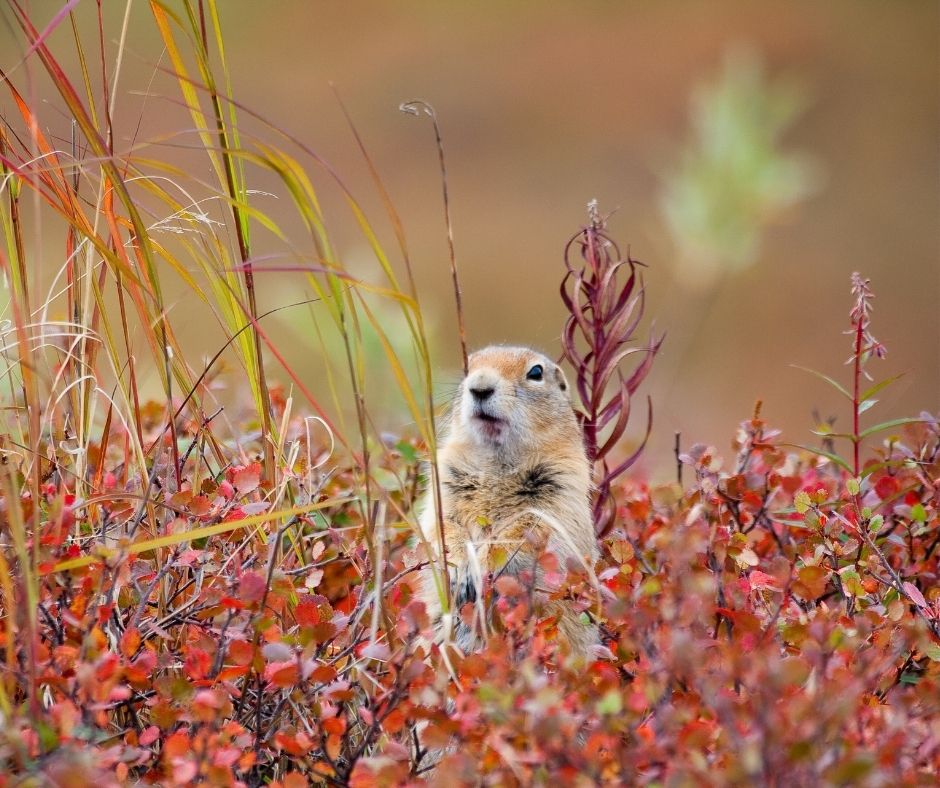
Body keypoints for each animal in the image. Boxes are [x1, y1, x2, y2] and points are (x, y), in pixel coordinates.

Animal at [416, 348, 596, 660]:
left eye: (535, 372)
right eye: (467, 367)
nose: (480, 386)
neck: (496, 463)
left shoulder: (559, 491)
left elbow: (522, 534)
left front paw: (482, 566)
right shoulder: (444, 485)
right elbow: (441, 526)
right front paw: (460, 568)